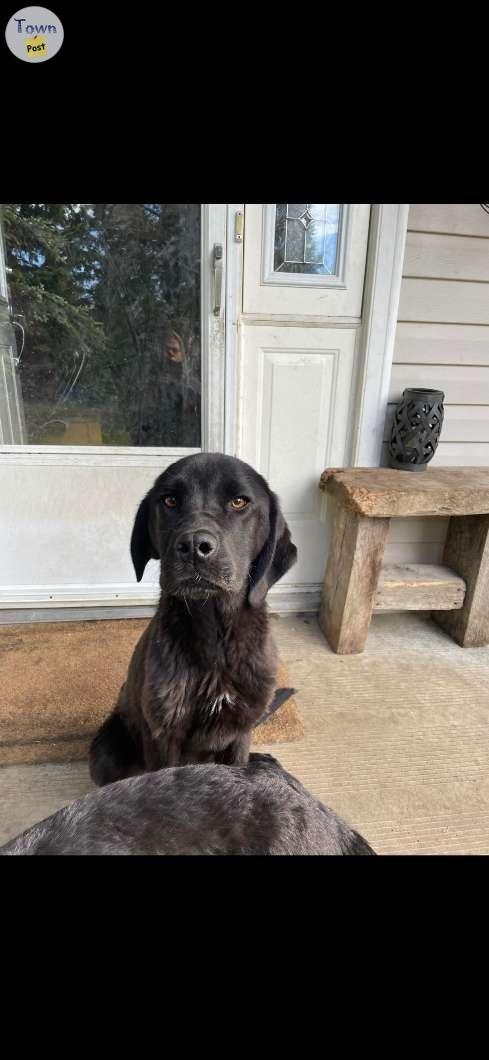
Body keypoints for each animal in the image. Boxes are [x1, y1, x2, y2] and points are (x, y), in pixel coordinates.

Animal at [90, 453, 299, 788]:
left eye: (239, 501)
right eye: (170, 500)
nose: (193, 547)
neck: (216, 636)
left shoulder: (239, 732)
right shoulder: (164, 735)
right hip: (107, 752)